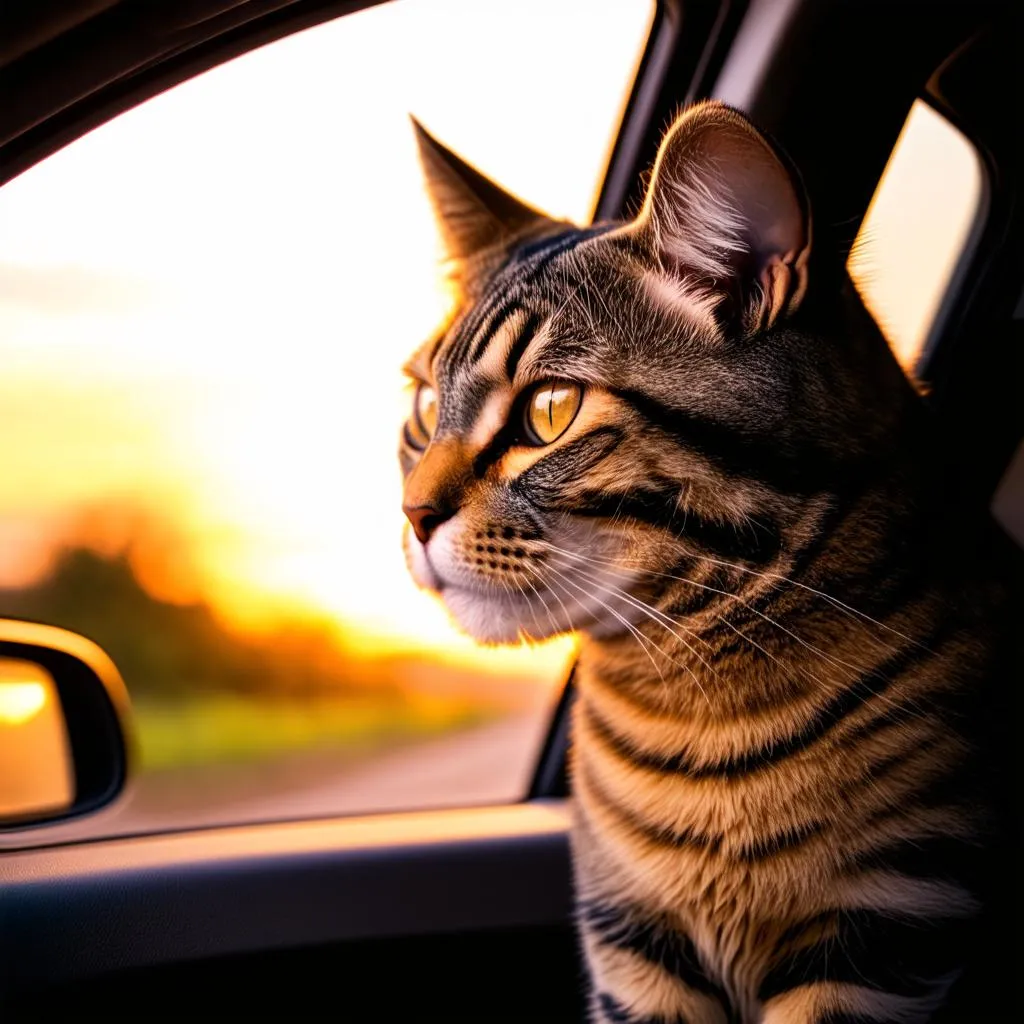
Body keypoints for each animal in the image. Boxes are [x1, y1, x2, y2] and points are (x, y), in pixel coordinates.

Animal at [395, 105, 1011, 1024]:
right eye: (425, 405)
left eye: (551, 410)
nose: (412, 514)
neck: (694, 722)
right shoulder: (633, 940)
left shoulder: (887, 927)